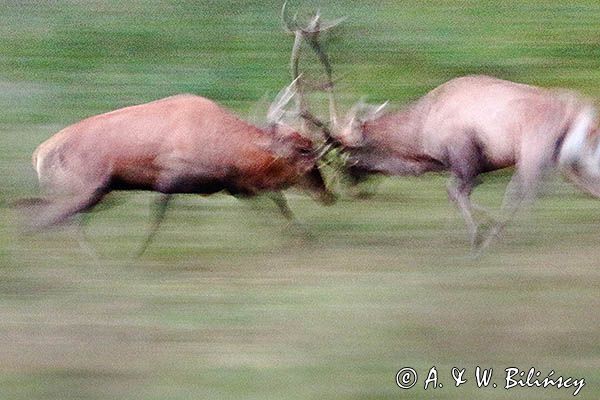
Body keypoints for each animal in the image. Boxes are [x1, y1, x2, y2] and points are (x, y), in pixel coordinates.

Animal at [23, 80, 336, 255]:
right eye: (306, 156)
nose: (328, 195)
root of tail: (39, 154)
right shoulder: (170, 177)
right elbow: (156, 220)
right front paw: (137, 254)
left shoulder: (232, 184)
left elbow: (277, 203)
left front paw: (304, 237)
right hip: (88, 188)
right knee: (51, 217)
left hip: (96, 191)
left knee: (49, 213)